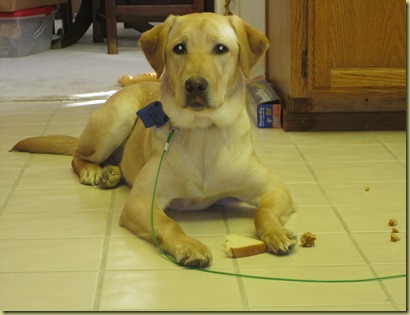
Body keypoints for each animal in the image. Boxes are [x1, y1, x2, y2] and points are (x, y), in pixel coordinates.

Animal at [12, 13, 296, 268]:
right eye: (179, 48)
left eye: (221, 49)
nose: (195, 85)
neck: (202, 130)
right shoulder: (142, 200)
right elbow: (168, 224)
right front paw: (189, 246)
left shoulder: (275, 188)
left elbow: (264, 212)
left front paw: (276, 233)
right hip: (118, 118)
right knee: (77, 157)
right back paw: (94, 171)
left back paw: (111, 174)